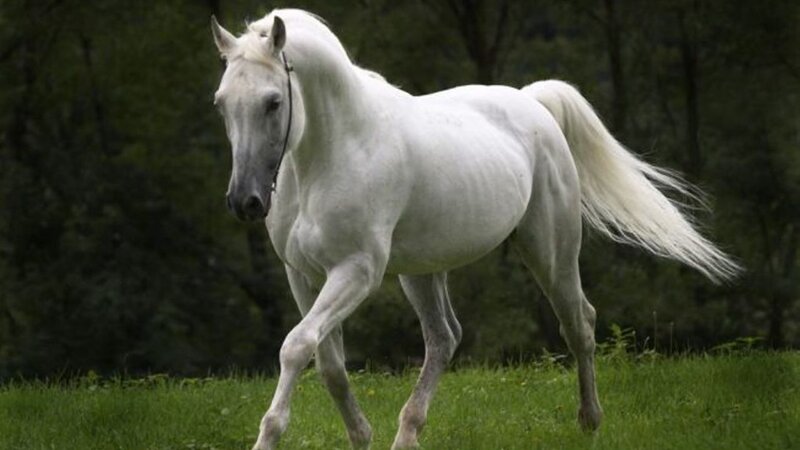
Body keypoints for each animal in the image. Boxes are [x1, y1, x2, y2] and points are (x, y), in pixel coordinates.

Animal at [210, 9, 739, 450]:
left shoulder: (356, 272)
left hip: (549, 252)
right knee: (444, 338)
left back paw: (589, 423)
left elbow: (296, 346)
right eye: (221, 103)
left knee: (579, 324)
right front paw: (361, 437)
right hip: (422, 271)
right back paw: (407, 435)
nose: (244, 202)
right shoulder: (302, 275)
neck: (335, 150)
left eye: (273, 102)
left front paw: (269, 436)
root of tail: (532, 102)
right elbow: (329, 363)